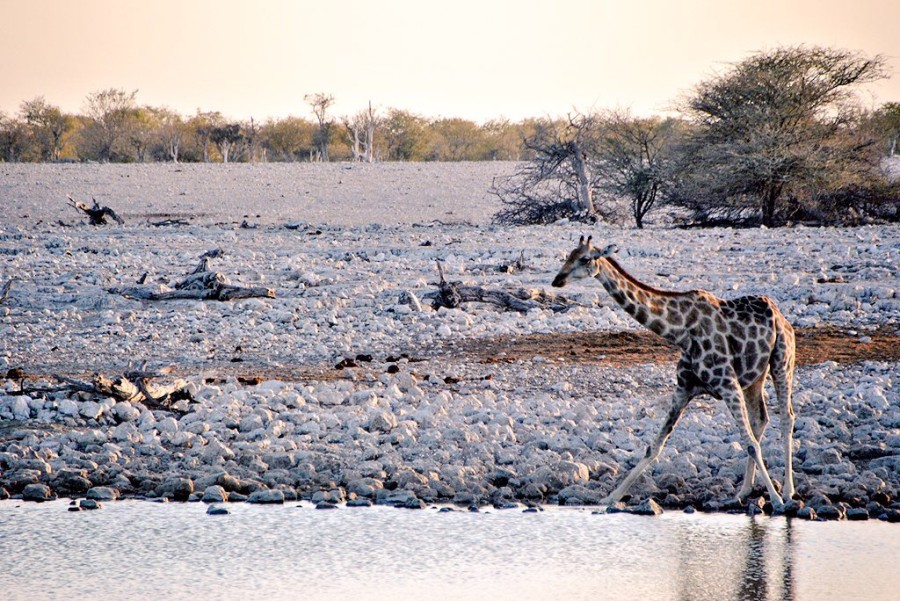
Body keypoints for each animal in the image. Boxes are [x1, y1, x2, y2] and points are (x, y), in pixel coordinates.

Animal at [548, 237, 796, 508]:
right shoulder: (684, 388)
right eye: (568, 255)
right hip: (755, 378)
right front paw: (611, 496)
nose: (557, 280)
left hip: (782, 362)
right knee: (760, 420)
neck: (681, 332)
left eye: (584, 259)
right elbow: (654, 447)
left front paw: (776, 499)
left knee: (786, 417)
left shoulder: (727, 383)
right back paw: (743, 491)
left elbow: (749, 443)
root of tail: (781, 316)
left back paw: (787, 492)